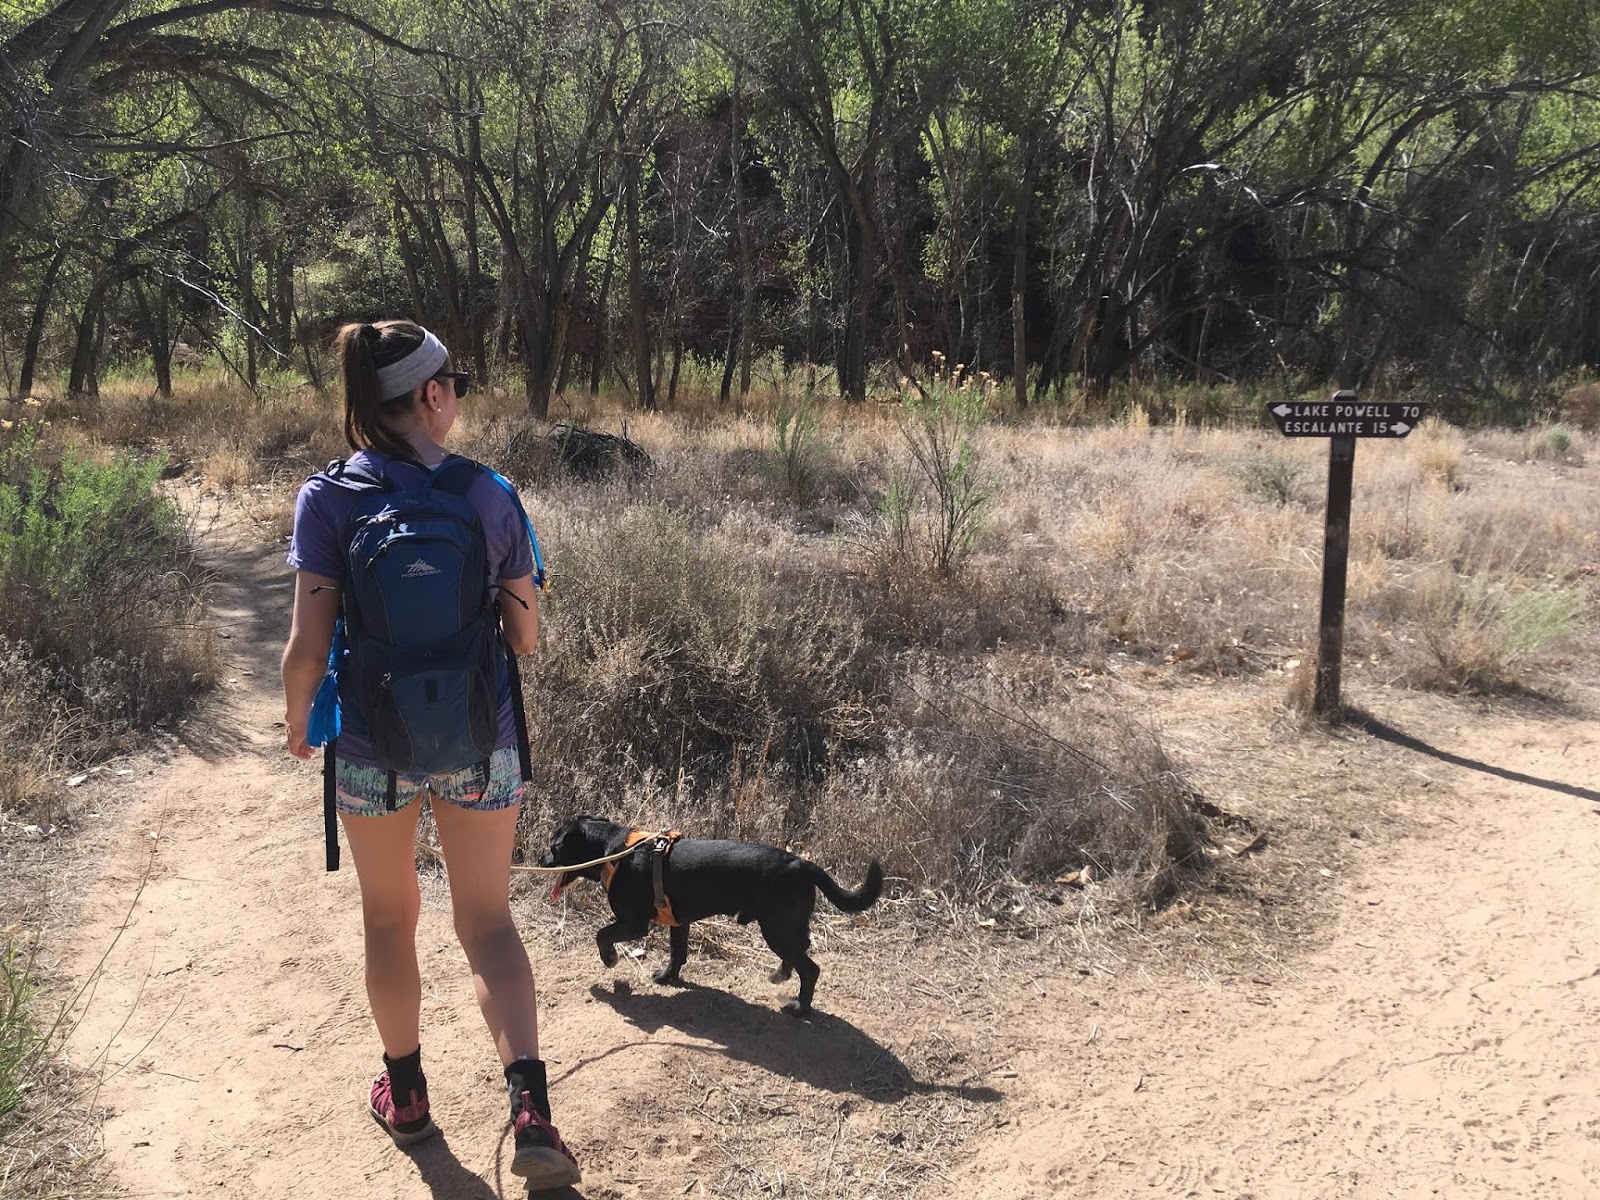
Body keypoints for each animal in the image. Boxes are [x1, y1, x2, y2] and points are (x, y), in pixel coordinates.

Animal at [544, 819, 883, 1017]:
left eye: (554, 847)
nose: (539, 859)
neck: (613, 851)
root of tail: (801, 864)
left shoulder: (634, 923)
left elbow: (602, 934)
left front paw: (610, 958)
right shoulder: (679, 922)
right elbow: (677, 953)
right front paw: (668, 977)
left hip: (776, 929)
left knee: (810, 969)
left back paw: (800, 1007)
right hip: (785, 929)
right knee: (799, 955)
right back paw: (781, 975)